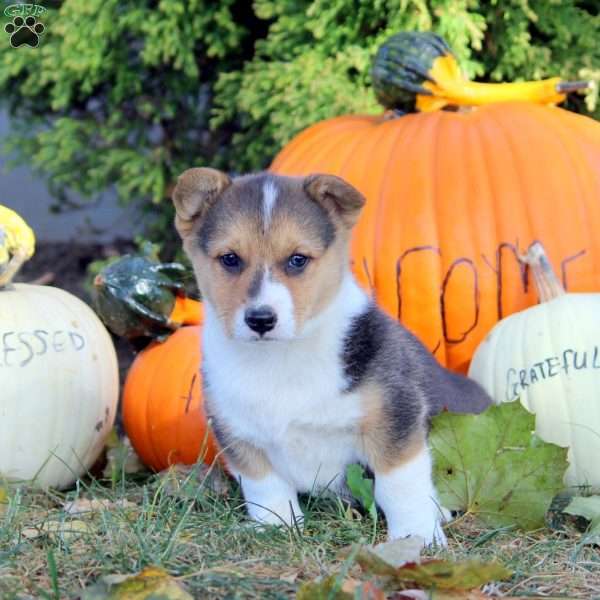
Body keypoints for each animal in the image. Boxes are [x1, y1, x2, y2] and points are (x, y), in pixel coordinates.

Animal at [171, 166, 490, 548]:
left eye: (297, 259)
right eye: (230, 259)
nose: (261, 319)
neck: (280, 357)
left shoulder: (394, 419)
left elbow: (400, 485)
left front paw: (416, 537)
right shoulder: (239, 433)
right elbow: (266, 489)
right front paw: (279, 527)